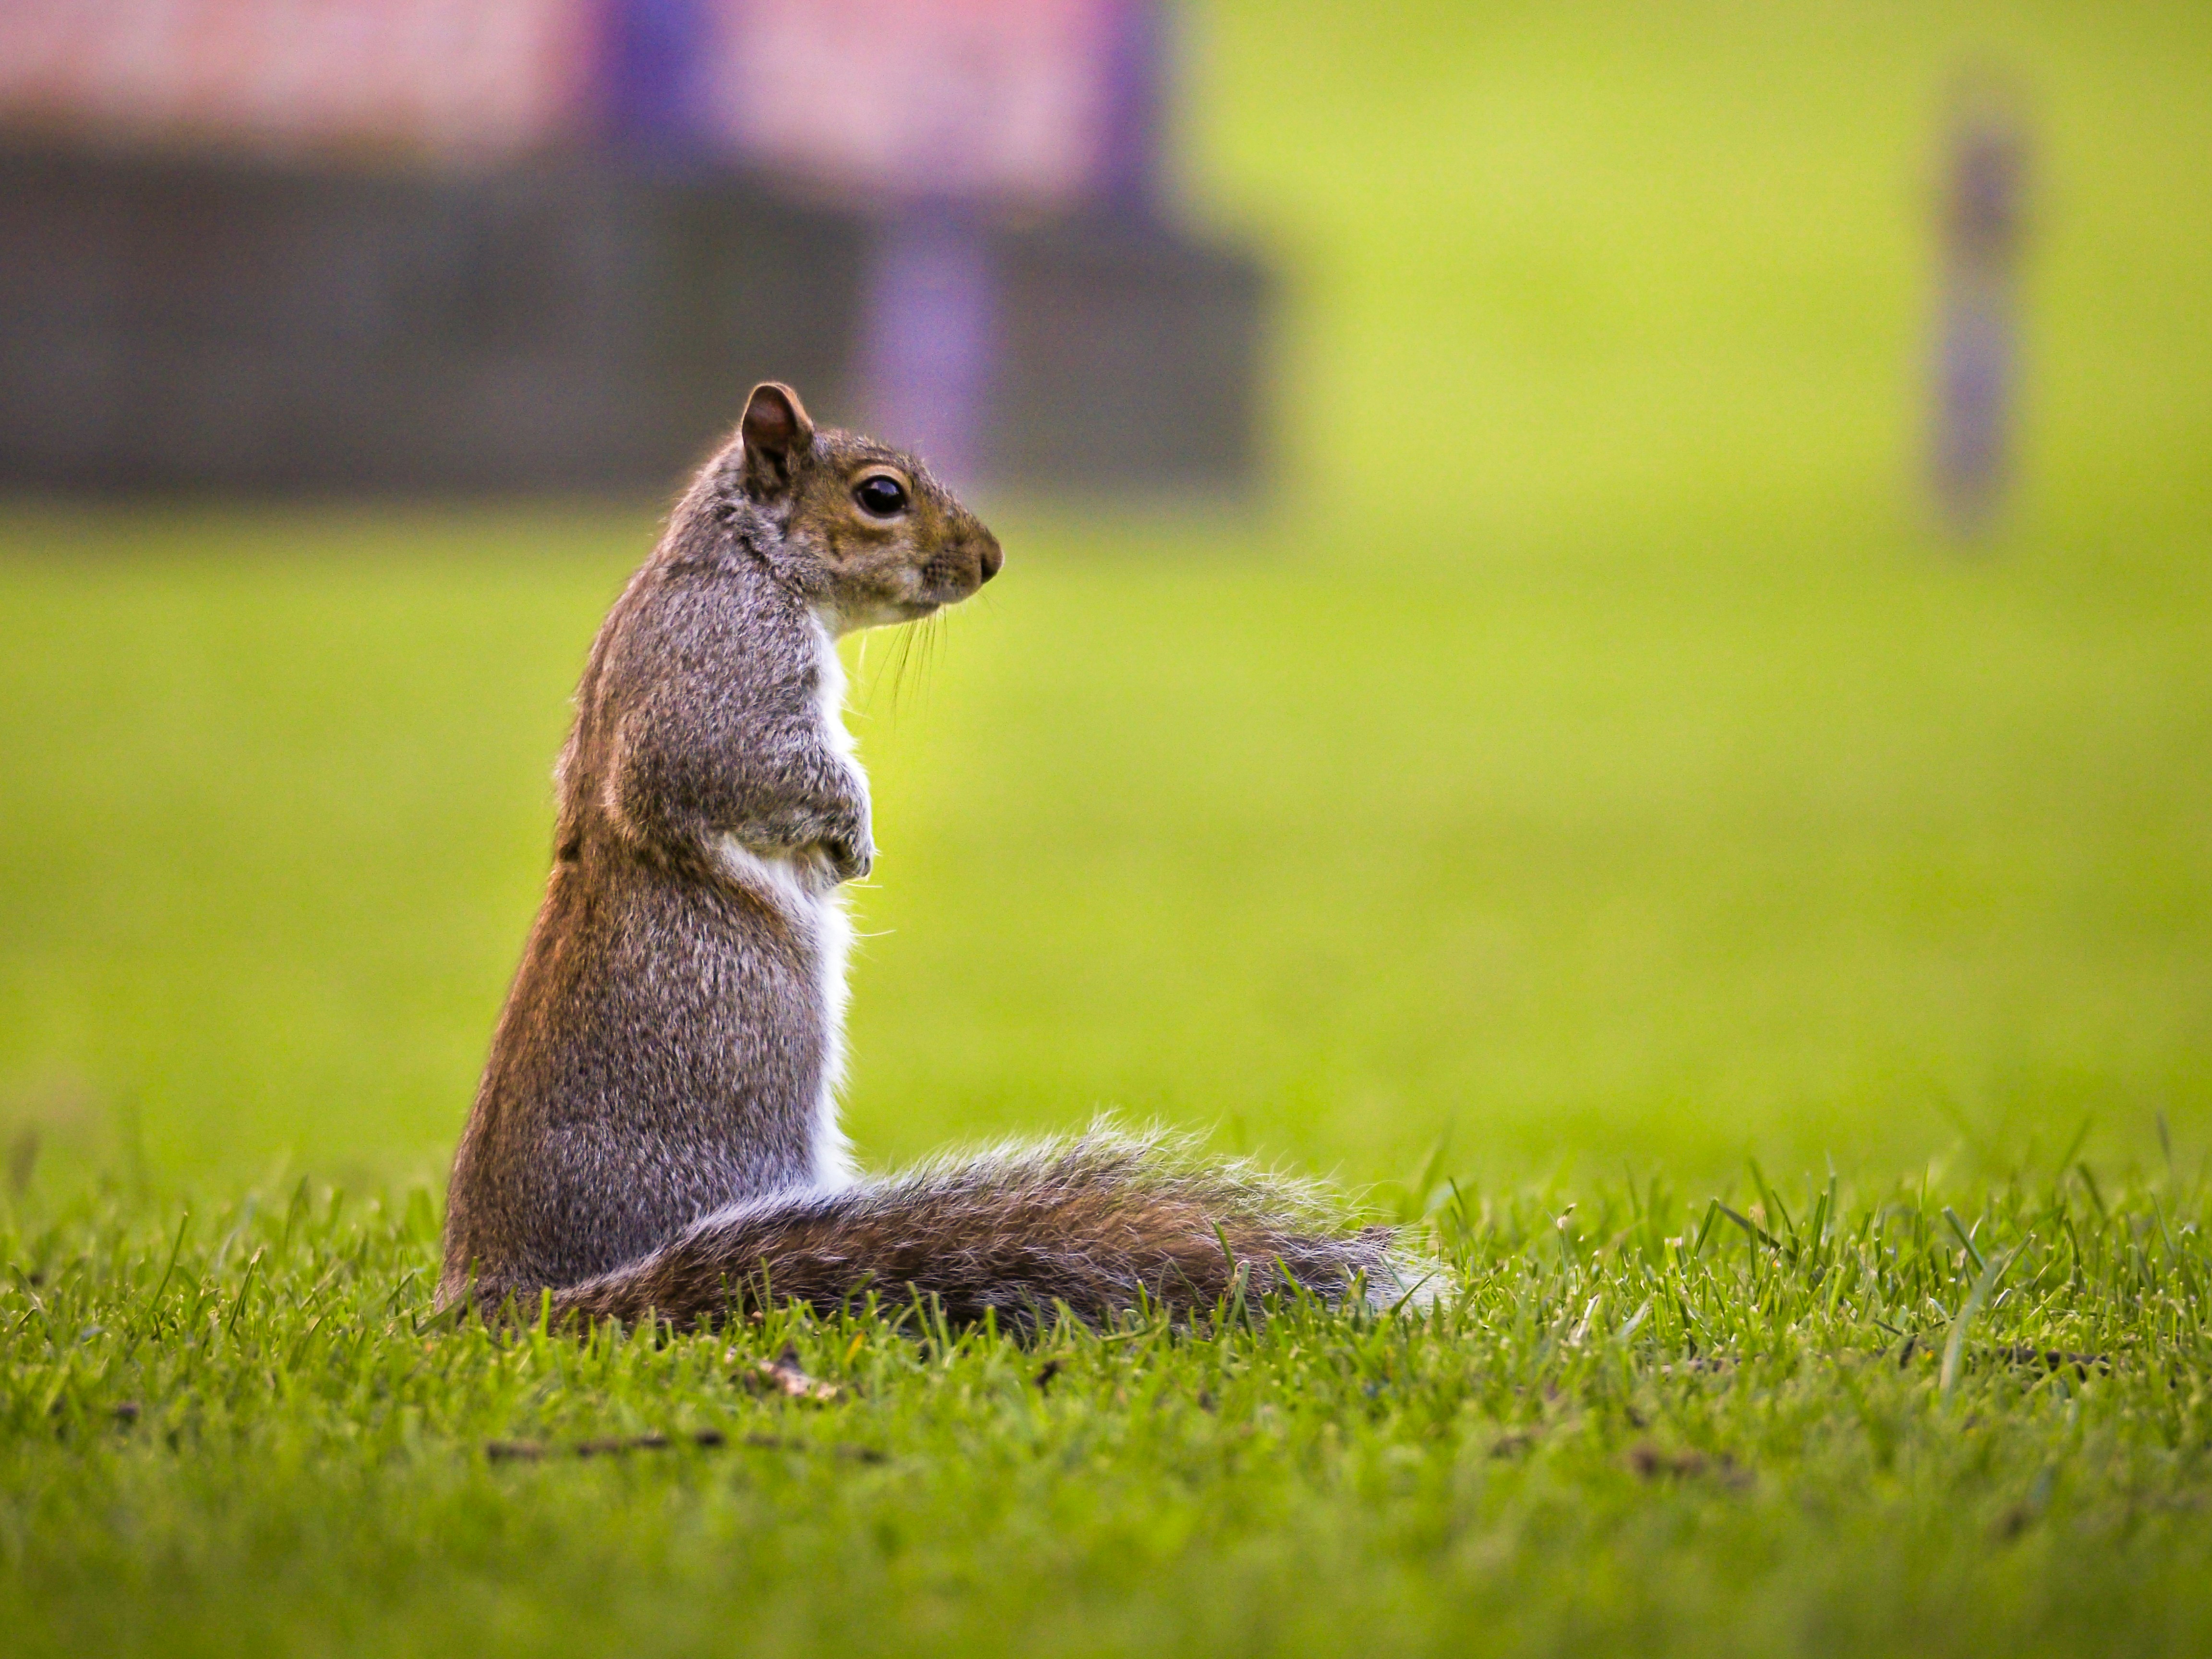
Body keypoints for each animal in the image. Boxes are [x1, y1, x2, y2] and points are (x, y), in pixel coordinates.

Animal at [438, 382, 1405, 1331]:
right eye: (881, 496)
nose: (990, 558)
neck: (748, 560)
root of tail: (518, 1297)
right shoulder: (728, 672)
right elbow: (755, 764)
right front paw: (854, 839)